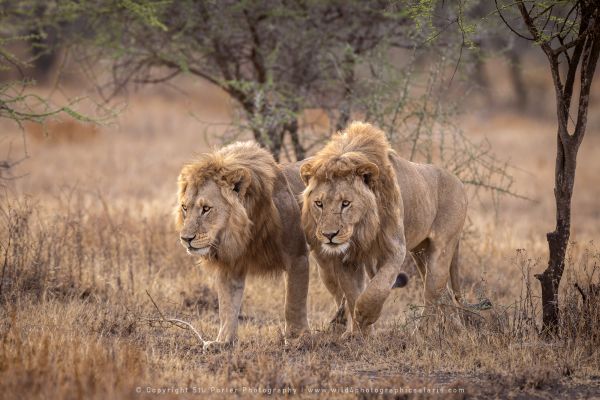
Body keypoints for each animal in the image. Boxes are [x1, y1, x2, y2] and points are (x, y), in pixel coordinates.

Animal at [175, 141, 310, 350]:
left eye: (206, 209)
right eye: (184, 208)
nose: (186, 238)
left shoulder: (298, 257)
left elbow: (293, 302)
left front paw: (297, 339)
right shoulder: (229, 265)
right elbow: (226, 306)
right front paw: (223, 341)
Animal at [300, 122, 482, 338]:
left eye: (345, 203)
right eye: (319, 204)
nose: (329, 235)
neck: (362, 230)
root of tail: (458, 181)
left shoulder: (394, 249)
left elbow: (377, 287)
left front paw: (365, 316)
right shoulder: (346, 257)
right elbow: (352, 293)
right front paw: (357, 334)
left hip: (442, 248)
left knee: (431, 292)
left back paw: (423, 332)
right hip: (420, 252)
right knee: (441, 292)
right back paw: (455, 330)